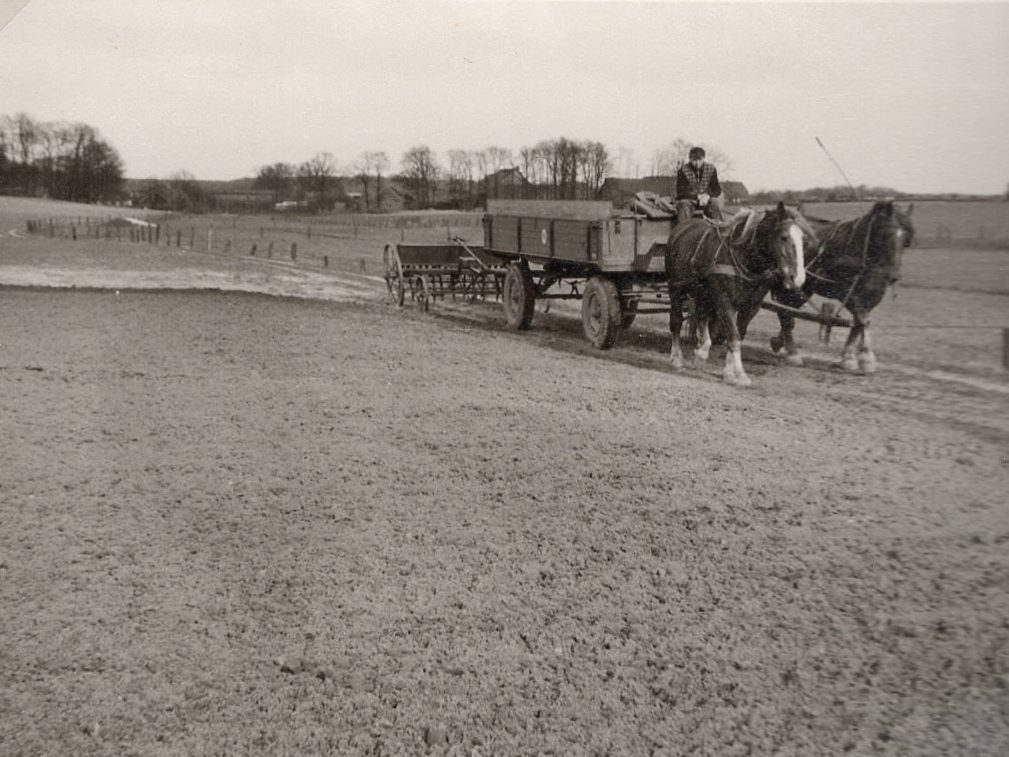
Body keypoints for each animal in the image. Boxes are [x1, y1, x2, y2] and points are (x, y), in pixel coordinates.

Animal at [665, 201, 807, 385]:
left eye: (803, 238)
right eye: (784, 237)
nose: (798, 277)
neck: (745, 259)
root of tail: (682, 228)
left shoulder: (752, 305)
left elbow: (738, 334)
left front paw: (729, 372)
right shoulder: (725, 301)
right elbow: (733, 336)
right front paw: (740, 374)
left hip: (703, 293)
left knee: (702, 317)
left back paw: (701, 351)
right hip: (676, 288)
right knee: (676, 321)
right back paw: (676, 358)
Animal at [766, 198, 920, 371]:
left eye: (907, 241)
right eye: (885, 235)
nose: (893, 276)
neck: (859, 252)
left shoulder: (872, 297)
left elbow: (859, 323)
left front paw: (849, 357)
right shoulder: (845, 291)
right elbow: (863, 320)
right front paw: (866, 358)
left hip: (803, 288)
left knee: (789, 310)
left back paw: (780, 341)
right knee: (784, 313)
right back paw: (792, 353)